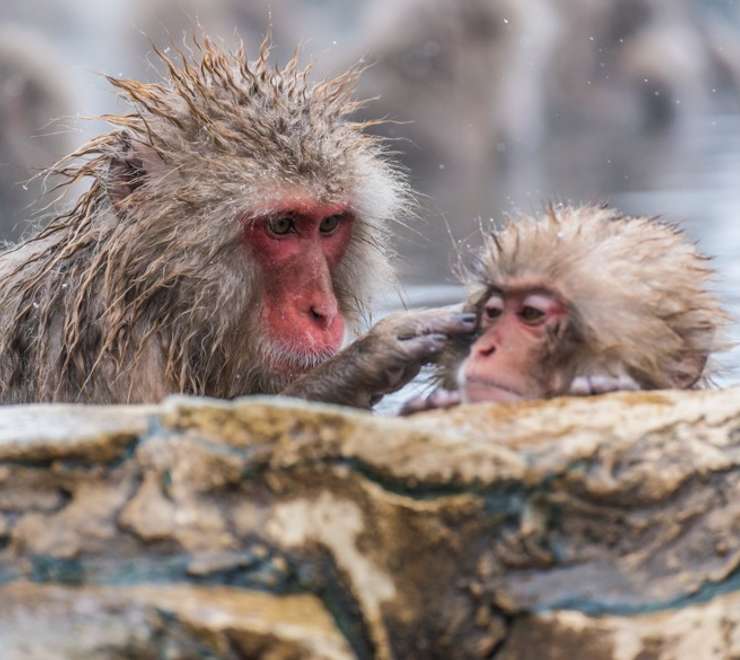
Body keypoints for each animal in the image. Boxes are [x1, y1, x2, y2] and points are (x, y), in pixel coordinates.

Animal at [0, 35, 476, 407]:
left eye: (327, 225)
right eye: (282, 225)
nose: (322, 312)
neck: (148, 299)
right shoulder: (107, 358)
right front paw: (361, 365)